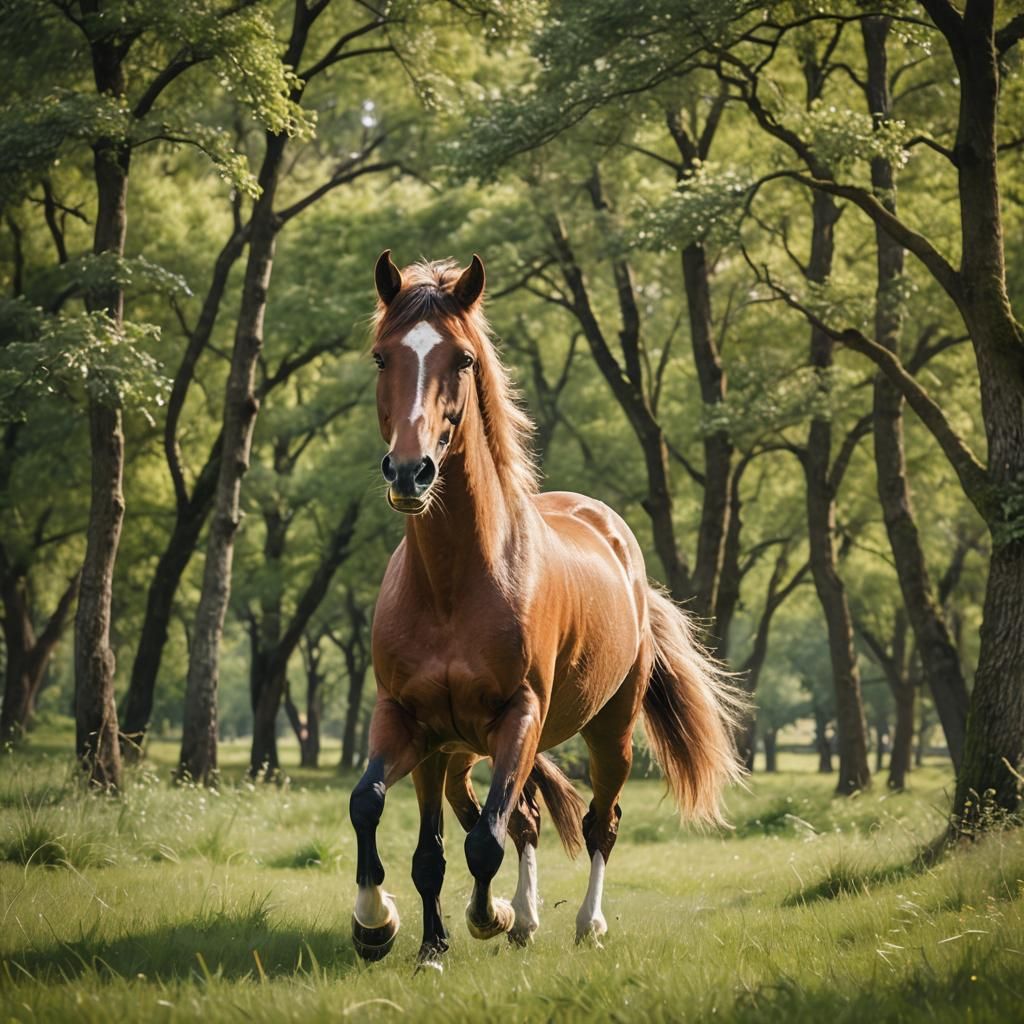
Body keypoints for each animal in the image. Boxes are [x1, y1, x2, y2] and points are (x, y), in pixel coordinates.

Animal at [348, 251, 744, 966]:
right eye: (381, 356)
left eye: (463, 358)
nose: (410, 472)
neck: (452, 587)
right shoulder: (410, 721)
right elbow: (391, 822)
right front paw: (393, 931)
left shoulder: (519, 716)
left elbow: (485, 842)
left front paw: (485, 916)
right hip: (463, 751)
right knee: (517, 819)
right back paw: (522, 917)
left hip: (607, 732)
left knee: (596, 822)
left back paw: (583, 923)